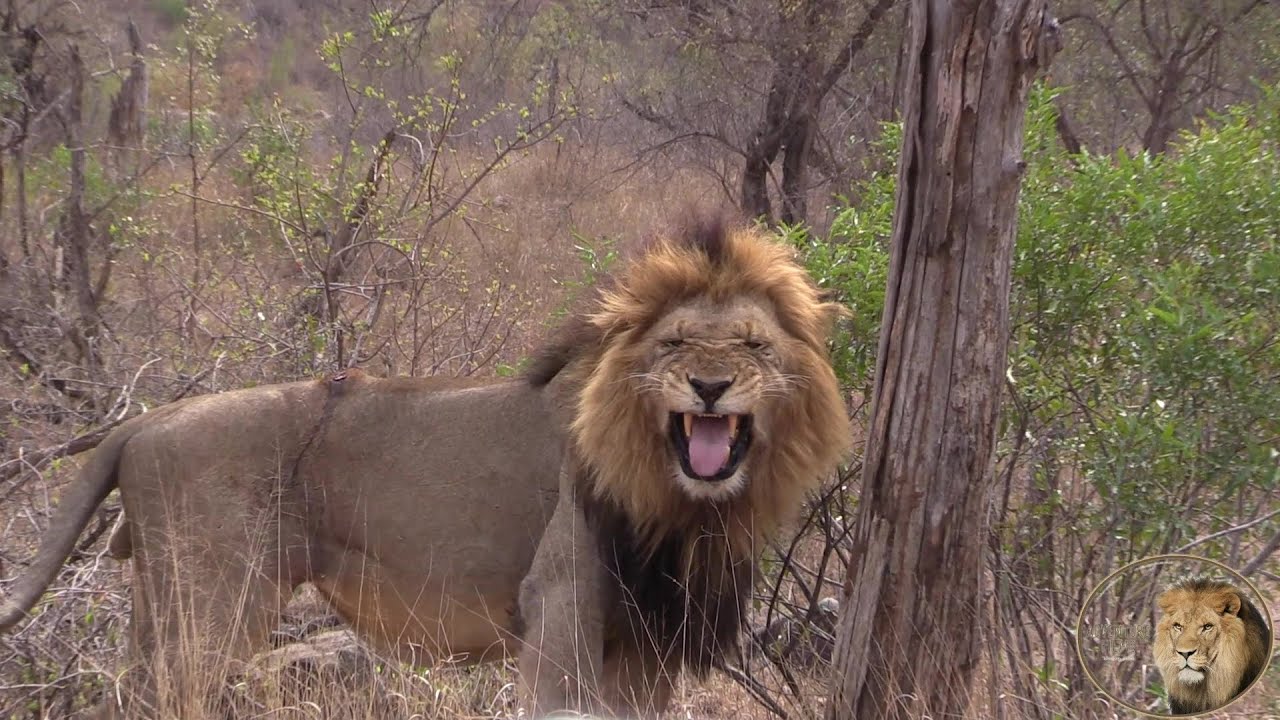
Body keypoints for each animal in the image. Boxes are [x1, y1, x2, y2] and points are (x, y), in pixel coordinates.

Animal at [0, 210, 852, 719]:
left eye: (752, 345)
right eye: (674, 343)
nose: (709, 385)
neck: (684, 504)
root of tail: (144, 421)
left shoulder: (646, 645)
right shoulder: (560, 600)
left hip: (162, 601)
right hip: (208, 605)